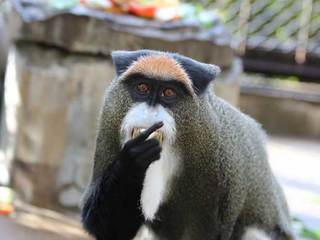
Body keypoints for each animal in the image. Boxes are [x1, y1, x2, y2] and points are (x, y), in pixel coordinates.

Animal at [81, 49, 294, 240]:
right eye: (142, 88)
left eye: (168, 92)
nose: (150, 113)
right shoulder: (108, 134)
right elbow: (108, 228)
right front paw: (133, 160)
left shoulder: (218, 161)